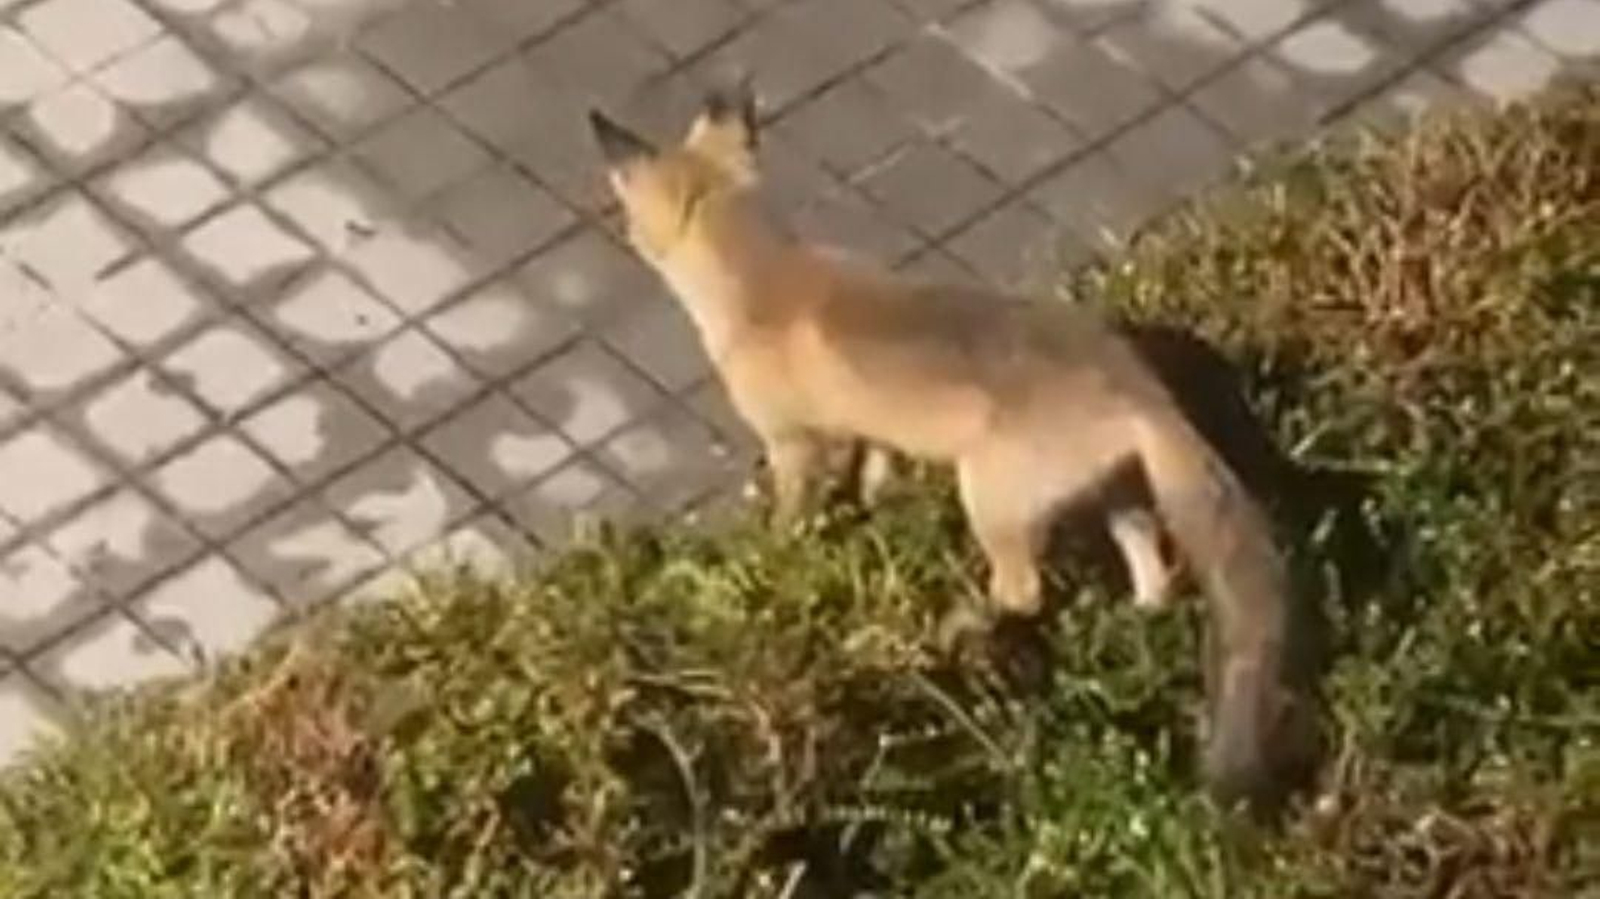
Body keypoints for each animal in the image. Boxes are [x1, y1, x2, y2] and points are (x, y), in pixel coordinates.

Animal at [587, 87, 1316, 808]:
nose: (625, 238)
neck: (761, 281)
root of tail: (1142, 391)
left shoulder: (794, 443)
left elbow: (793, 514)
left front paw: (779, 560)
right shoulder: (867, 429)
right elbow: (877, 472)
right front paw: (876, 507)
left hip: (987, 496)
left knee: (1023, 592)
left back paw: (961, 624)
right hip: (1113, 495)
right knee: (1153, 564)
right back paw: (1134, 616)